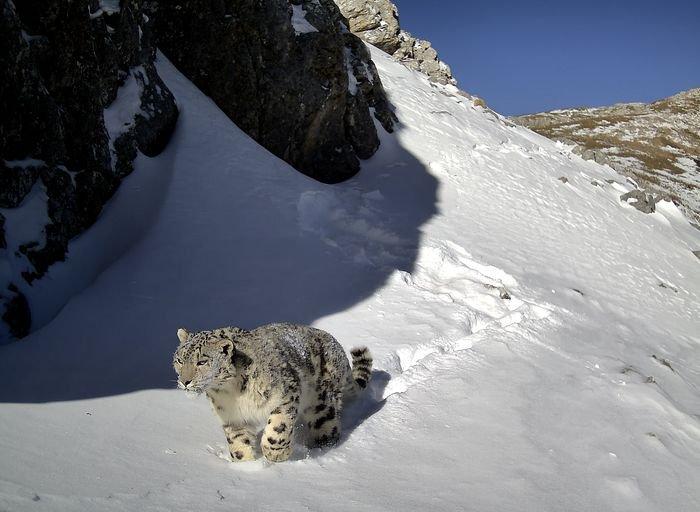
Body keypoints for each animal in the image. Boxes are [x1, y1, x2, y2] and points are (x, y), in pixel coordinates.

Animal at [172, 322, 372, 462]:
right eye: (180, 359)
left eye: (202, 362)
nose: (185, 381)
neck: (231, 393)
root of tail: (336, 346)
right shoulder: (232, 416)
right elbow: (237, 442)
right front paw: (246, 465)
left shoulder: (285, 395)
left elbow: (277, 428)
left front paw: (276, 455)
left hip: (321, 402)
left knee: (327, 425)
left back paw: (320, 447)